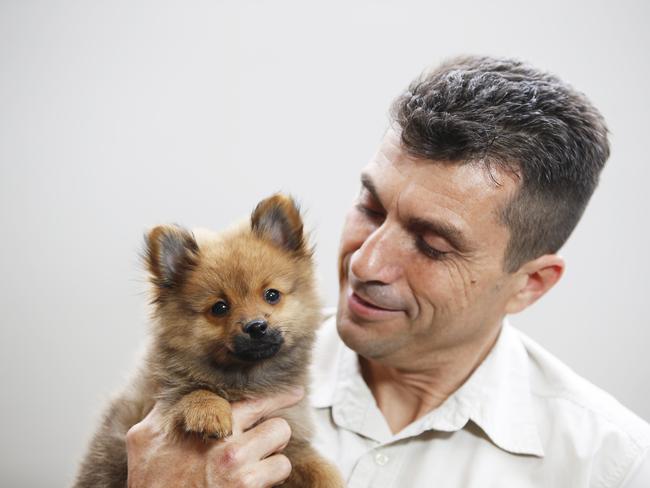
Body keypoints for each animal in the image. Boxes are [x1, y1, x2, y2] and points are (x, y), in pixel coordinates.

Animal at [73, 194, 342, 488]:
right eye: (220, 308)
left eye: (272, 295)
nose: (256, 326)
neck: (246, 380)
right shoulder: (158, 396)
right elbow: (192, 389)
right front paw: (208, 411)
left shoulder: (289, 442)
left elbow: (322, 469)